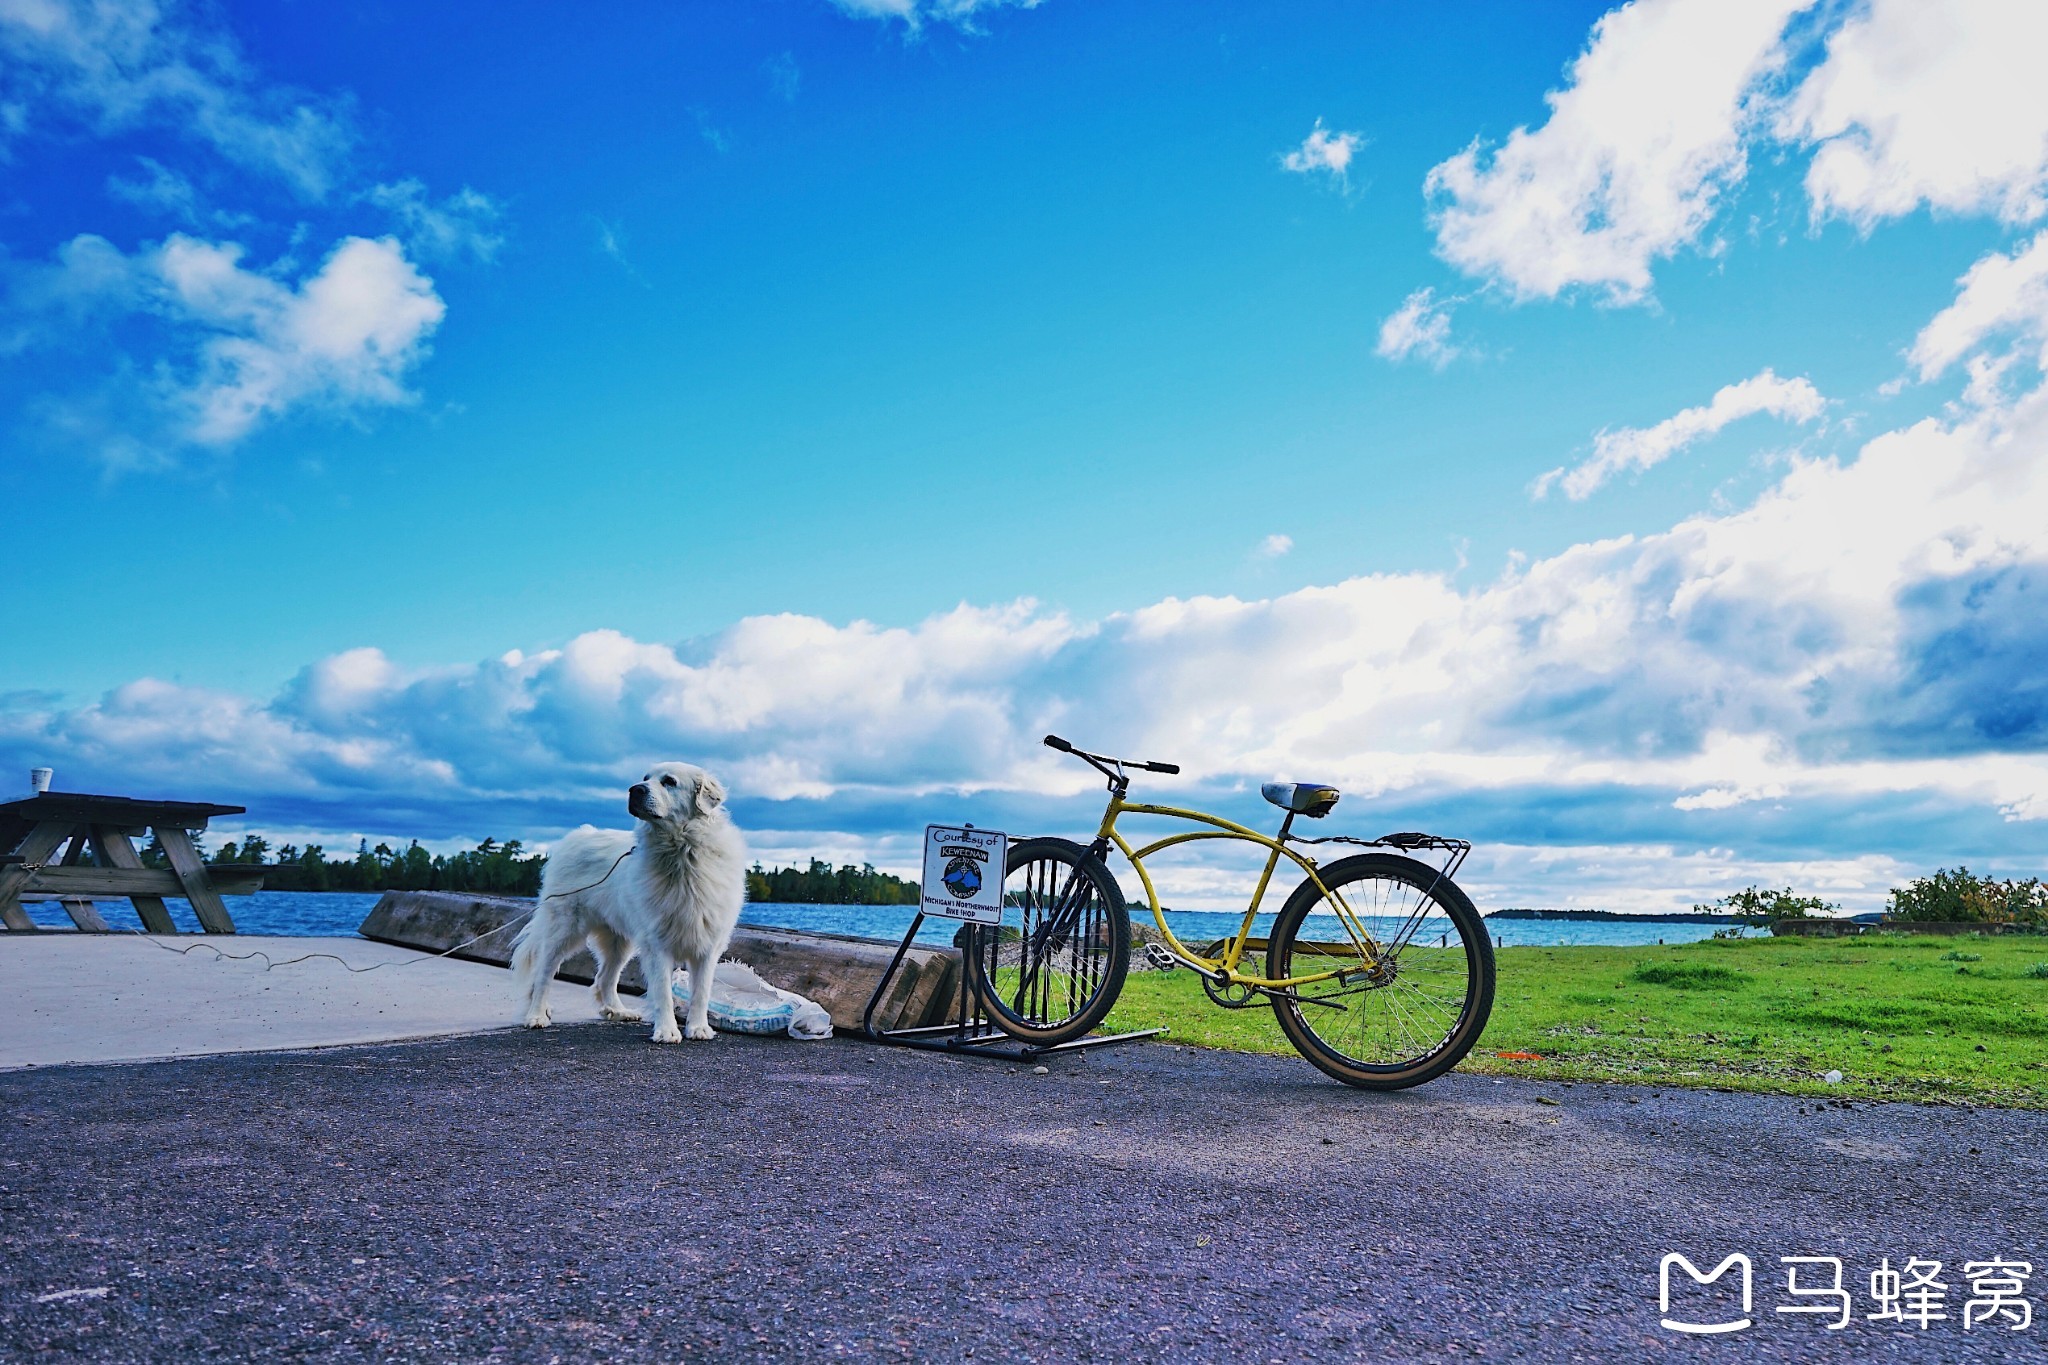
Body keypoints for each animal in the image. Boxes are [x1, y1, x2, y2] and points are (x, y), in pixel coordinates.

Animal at [516, 765, 749, 1039]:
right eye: (645, 778)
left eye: (669, 782)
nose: (634, 789)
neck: (683, 852)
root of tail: (576, 837)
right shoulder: (656, 942)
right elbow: (663, 991)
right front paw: (667, 1031)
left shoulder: (707, 945)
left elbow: (701, 993)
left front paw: (699, 1028)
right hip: (564, 929)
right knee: (543, 973)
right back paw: (537, 1015)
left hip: (619, 941)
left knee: (604, 978)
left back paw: (617, 1011)